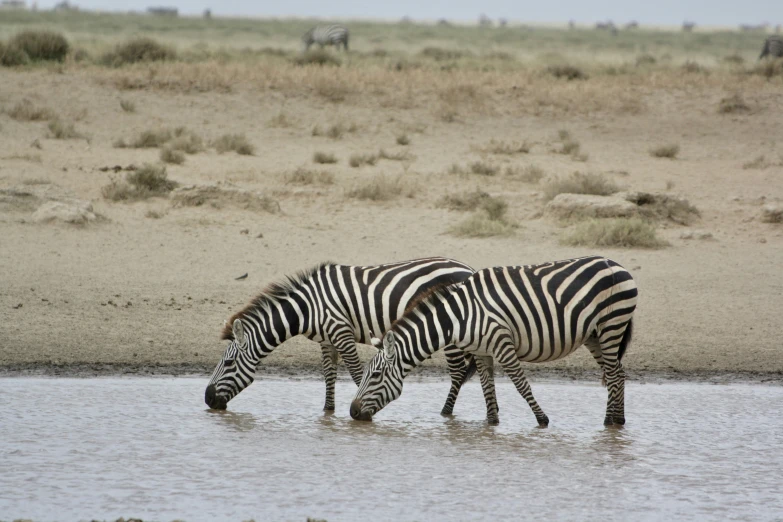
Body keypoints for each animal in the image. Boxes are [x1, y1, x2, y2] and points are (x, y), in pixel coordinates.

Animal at [204, 256, 490, 414]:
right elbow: (328, 375)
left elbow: (355, 373)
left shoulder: (341, 332)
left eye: (227, 363)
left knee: (457, 375)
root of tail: (468, 268)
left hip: (451, 333)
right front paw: (327, 412)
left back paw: (445, 414)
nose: (207, 398)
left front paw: (358, 405)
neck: (308, 307)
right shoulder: (326, 340)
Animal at [352, 254, 640, 424]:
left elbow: (521, 385)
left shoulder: (502, 344)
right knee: (618, 373)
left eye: (375, 375)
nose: (352, 412)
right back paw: (617, 421)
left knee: (613, 374)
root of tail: (615, 263)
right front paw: (491, 424)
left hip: (611, 324)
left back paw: (609, 421)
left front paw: (542, 420)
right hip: (595, 335)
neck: (459, 316)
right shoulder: (482, 351)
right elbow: (486, 387)